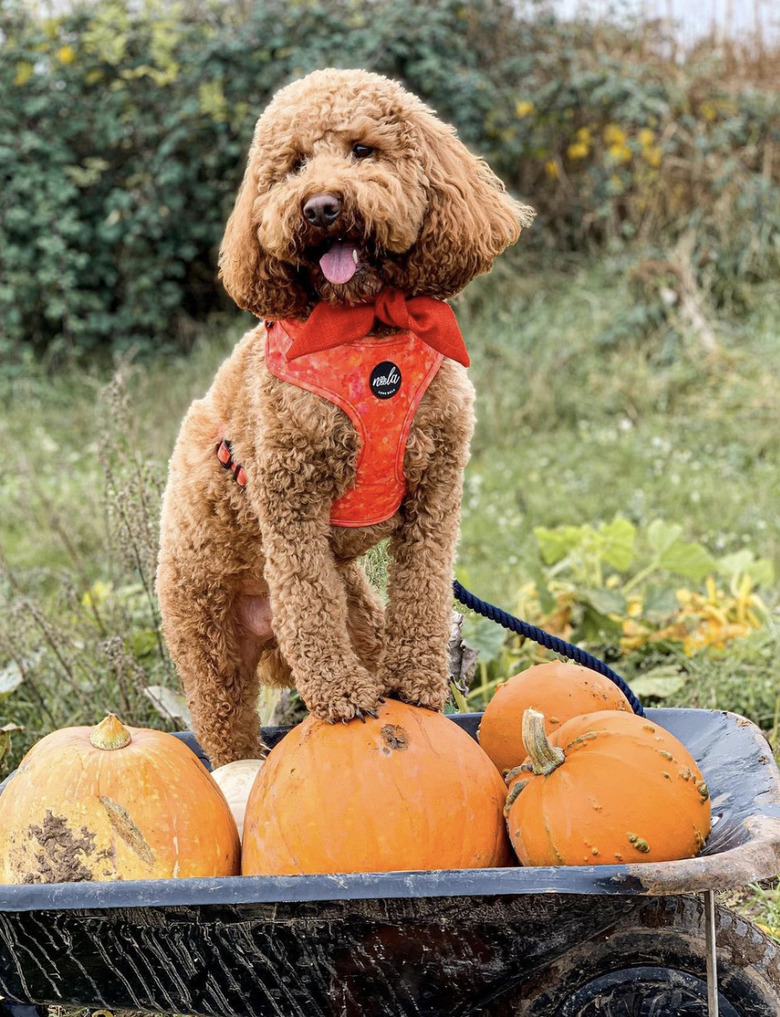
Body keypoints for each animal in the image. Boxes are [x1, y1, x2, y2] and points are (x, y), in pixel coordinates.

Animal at [158, 67, 536, 764]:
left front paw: (415, 683)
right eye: (293, 166)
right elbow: (309, 605)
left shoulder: (435, 490)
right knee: (228, 734)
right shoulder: (291, 503)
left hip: (357, 606)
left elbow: (423, 589)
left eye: (363, 150)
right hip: (209, 644)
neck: (365, 327)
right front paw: (340, 696)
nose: (320, 207)